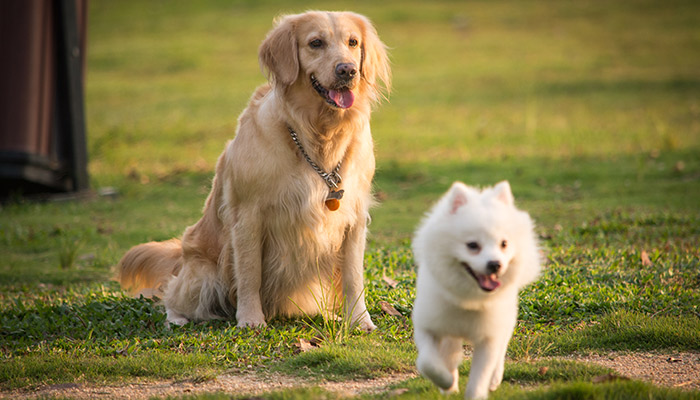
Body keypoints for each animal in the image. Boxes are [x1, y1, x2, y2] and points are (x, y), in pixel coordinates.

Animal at [410, 182, 540, 400]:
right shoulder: (428, 326)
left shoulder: (489, 337)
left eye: (504, 244)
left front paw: (478, 388)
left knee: (501, 350)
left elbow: (480, 376)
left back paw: (495, 379)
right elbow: (428, 363)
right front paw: (446, 381)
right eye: (472, 245)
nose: (495, 264)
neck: (469, 300)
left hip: (506, 320)